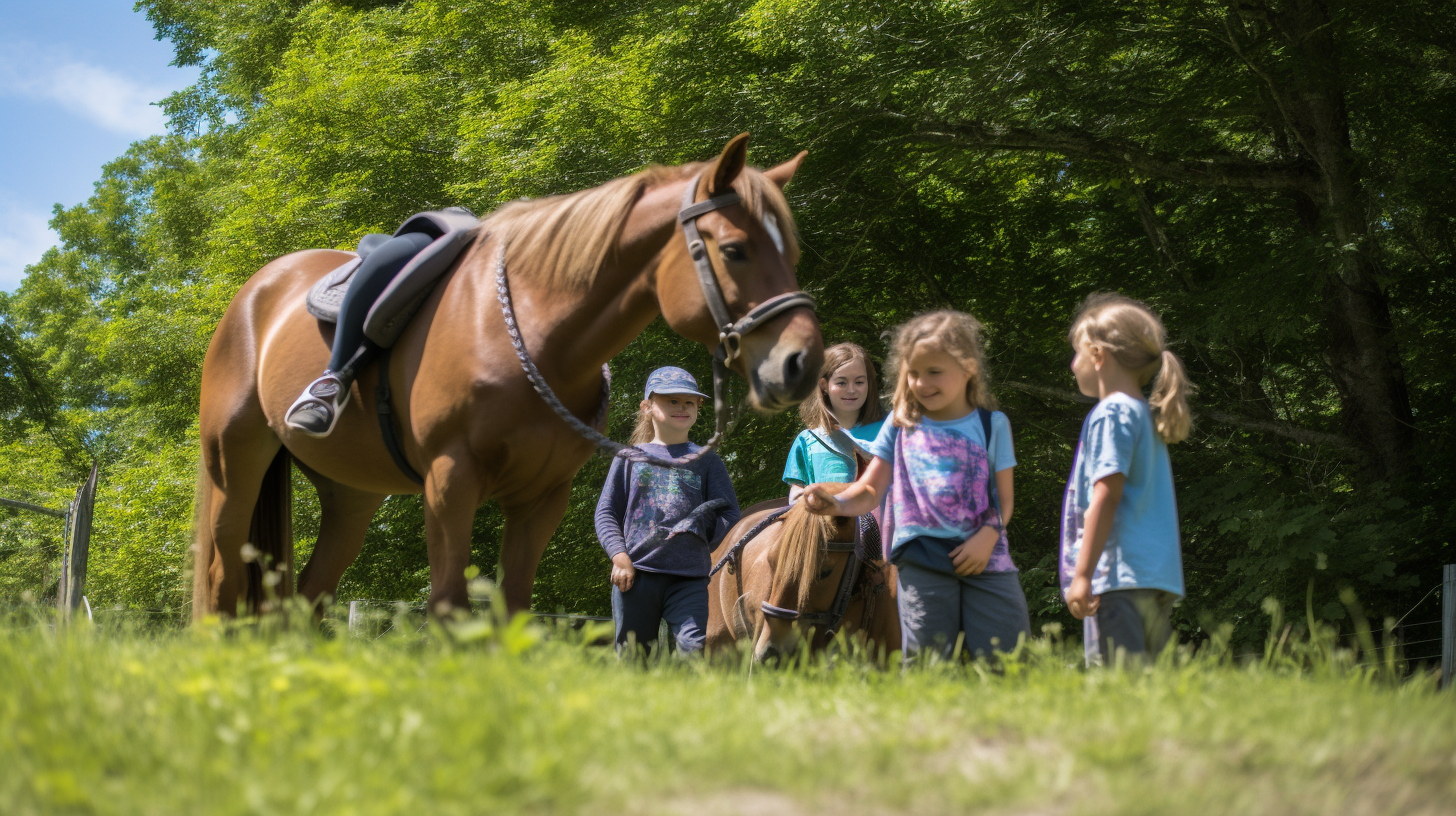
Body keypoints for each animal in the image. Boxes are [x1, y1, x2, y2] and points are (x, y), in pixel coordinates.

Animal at [195, 134, 827, 617]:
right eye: (735, 249)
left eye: (790, 252)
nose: (802, 362)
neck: (537, 340)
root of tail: (258, 290)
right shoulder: (451, 481)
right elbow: (449, 604)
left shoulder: (540, 499)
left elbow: (513, 606)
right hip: (235, 464)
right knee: (223, 577)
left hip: (351, 494)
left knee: (305, 596)